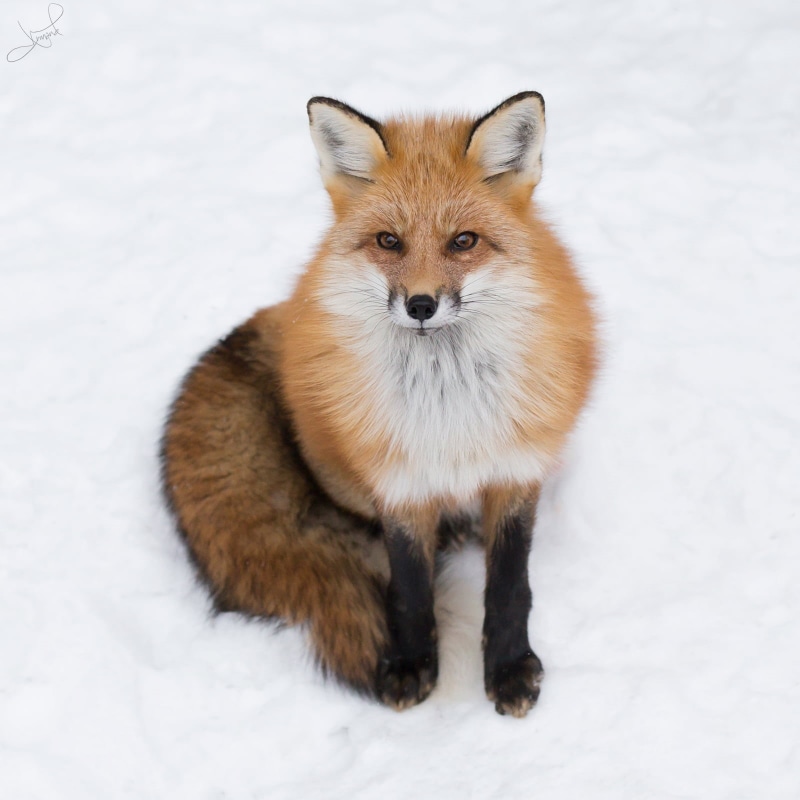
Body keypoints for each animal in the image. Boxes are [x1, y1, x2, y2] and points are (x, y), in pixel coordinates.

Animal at [161, 91, 597, 718]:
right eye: (389, 241)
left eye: (463, 241)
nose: (420, 304)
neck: (447, 409)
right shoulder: (397, 480)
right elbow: (410, 588)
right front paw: (412, 663)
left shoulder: (518, 468)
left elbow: (510, 584)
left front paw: (510, 667)